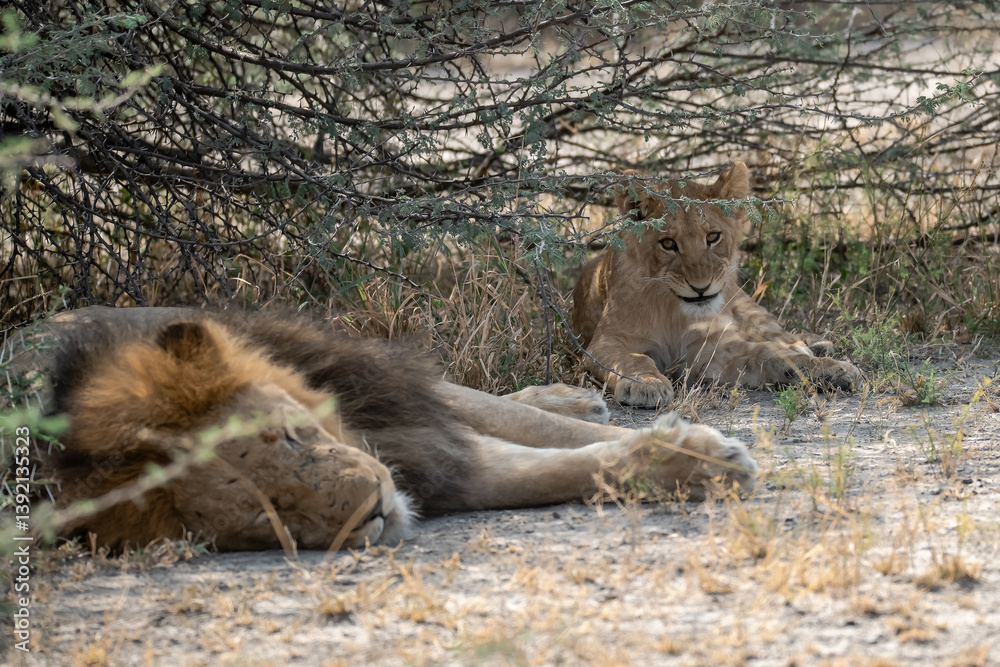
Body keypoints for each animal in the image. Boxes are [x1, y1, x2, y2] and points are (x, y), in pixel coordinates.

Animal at [36, 306, 757, 552]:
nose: (376, 511)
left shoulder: (394, 403)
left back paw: (578, 397)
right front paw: (695, 461)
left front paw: (711, 448)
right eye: (267, 517)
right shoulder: (436, 467)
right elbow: (567, 467)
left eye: (290, 437)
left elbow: (535, 426)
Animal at [573, 162, 861, 407]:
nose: (701, 287)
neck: (673, 310)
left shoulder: (710, 351)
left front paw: (833, 370)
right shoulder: (604, 343)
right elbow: (634, 359)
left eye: (712, 237)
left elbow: (771, 354)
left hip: (746, 306)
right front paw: (646, 383)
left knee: (782, 336)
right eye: (668, 244)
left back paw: (815, 347)